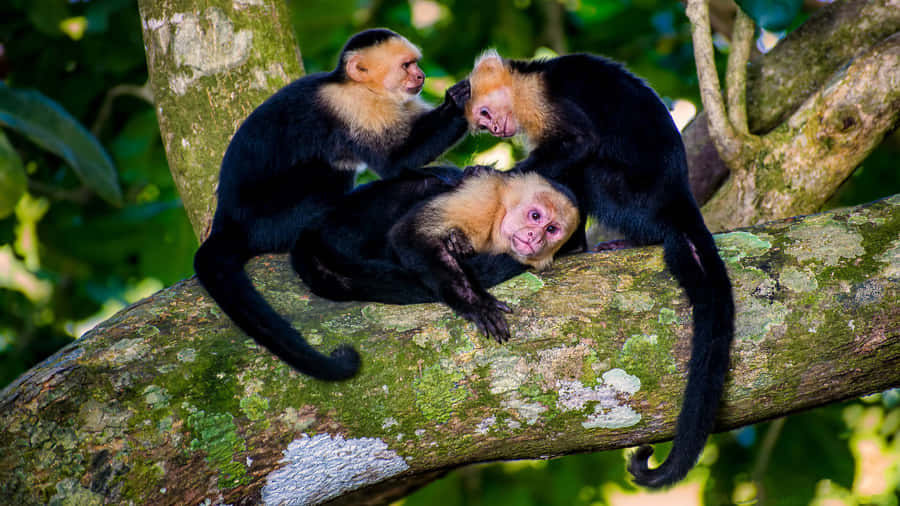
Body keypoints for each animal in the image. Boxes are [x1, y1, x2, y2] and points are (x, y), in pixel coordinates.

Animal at [193, 29, 471, 381]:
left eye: (416, 64)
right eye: (407, 65)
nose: (421, 76)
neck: (359, 87)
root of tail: (225, 222)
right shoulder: (354, 107)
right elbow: (395, 160)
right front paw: (460, 100)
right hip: (270, 220)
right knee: (322, 173)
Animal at [291, 165, 579, 342]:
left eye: (551, 229)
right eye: (535, 216)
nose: (535, 237)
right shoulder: (484, 196)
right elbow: (409, 233)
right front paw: (475, 302)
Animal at [463, 50, 735, 488]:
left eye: (486, 113)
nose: (496, 128)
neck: (526, 82)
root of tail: (680, 197)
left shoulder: (541, 99)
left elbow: (579, 143)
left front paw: (498, 174)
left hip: (630, 194)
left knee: (586, 172)